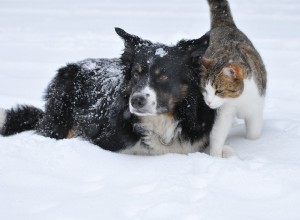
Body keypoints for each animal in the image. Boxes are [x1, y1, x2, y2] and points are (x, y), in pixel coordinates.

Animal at [199, 0, 268, 156]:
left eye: (218, 91)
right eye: (205, 90)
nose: (208, 102)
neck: (239, 99)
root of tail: (225, 25)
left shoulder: (256, 107)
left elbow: (254, 133)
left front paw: (253, 143)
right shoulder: (224, 111)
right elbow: (217, 133)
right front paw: (215, 156)